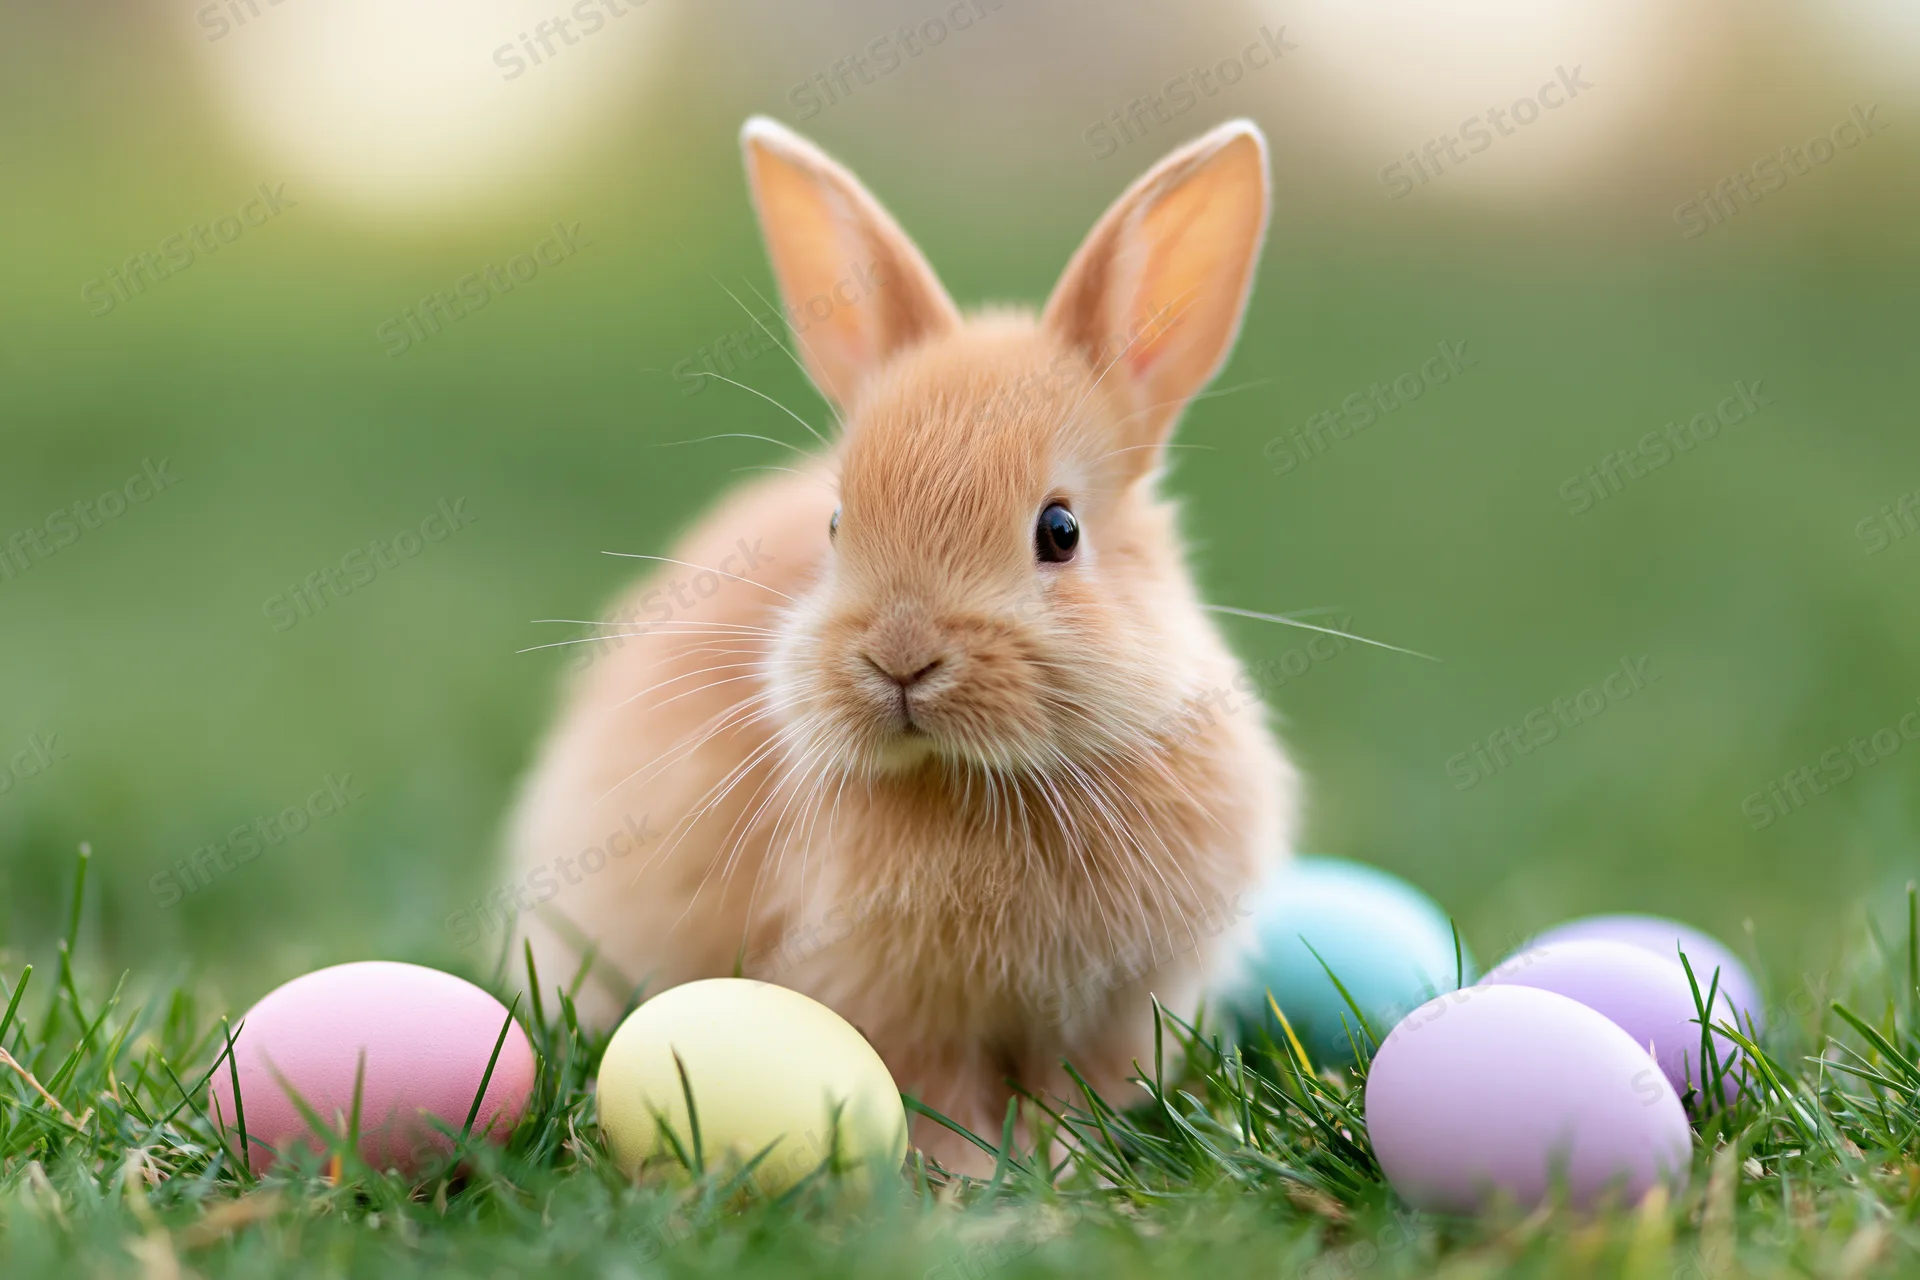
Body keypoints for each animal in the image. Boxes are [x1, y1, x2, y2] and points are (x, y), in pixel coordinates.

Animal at [504, 115, 1298, 1176]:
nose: (899, 658)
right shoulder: (889, 1002)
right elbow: (934, 1094)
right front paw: (971, 1179)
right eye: (838, 525)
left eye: (1060, 530)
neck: (978, 781)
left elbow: (1075, 1091)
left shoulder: (1120, 1009)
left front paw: (1058, 1166)